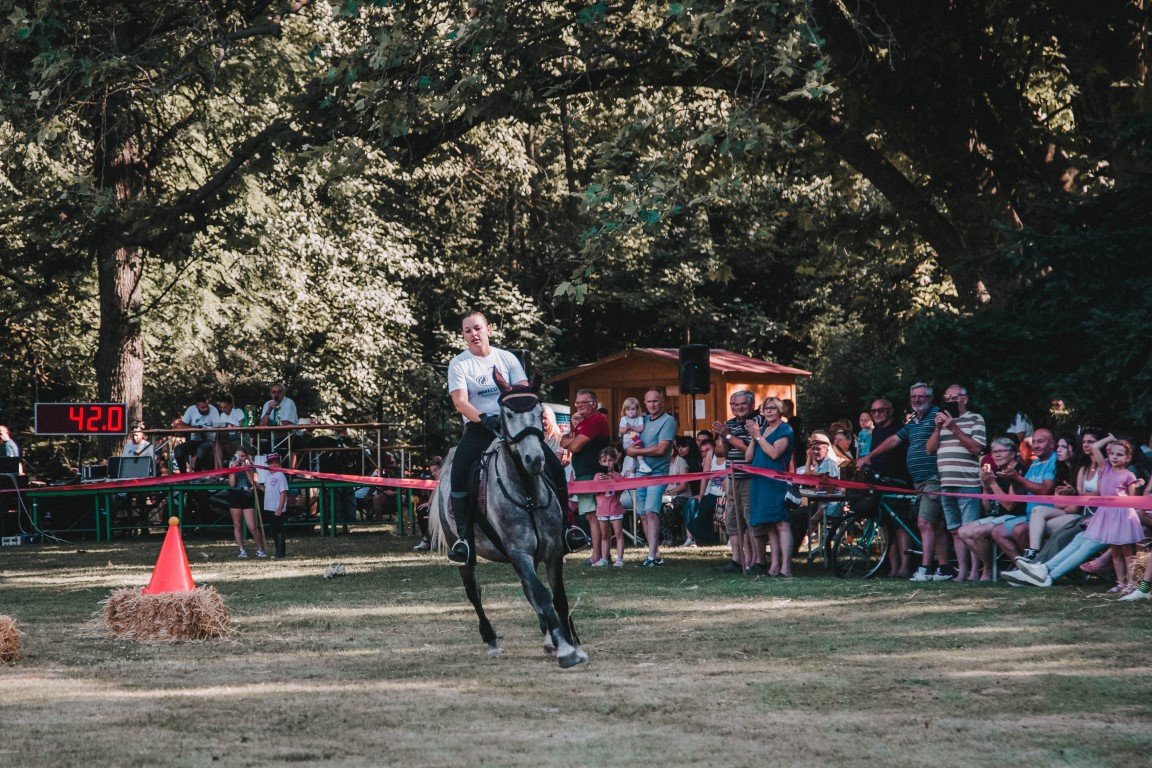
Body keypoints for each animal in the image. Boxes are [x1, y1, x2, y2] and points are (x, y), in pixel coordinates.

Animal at [429, 373, 588, 669]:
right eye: (509, 413)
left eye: (538, 412)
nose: (534, 459)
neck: (527, 493)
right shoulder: (518, 553)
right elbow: (542, 595)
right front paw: (565, 650)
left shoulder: (552, 551)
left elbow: (557, 597)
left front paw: (571, 643)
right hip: (465, 554)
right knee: (474, 592)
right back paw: (492, 640)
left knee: (528, 590)